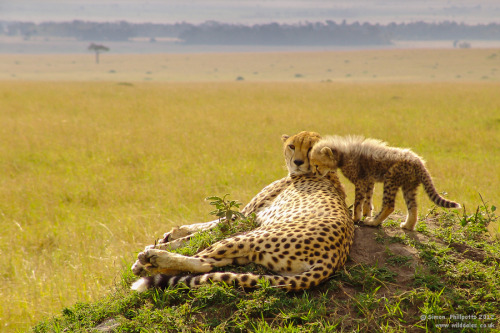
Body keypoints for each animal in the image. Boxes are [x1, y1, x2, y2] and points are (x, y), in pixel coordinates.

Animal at [131, 131, 354, 290]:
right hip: (255, 255)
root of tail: (334, 258)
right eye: (292, 146)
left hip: (250, 236)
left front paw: (162, 243)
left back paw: (149, 259)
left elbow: (201, 233)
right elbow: (205, 225)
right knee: (212, 262)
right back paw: (151, 263)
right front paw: (172, 233)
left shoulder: (246, 218)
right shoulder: (245, 216)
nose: (298, 162)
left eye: (309, 149)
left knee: (203, 261)